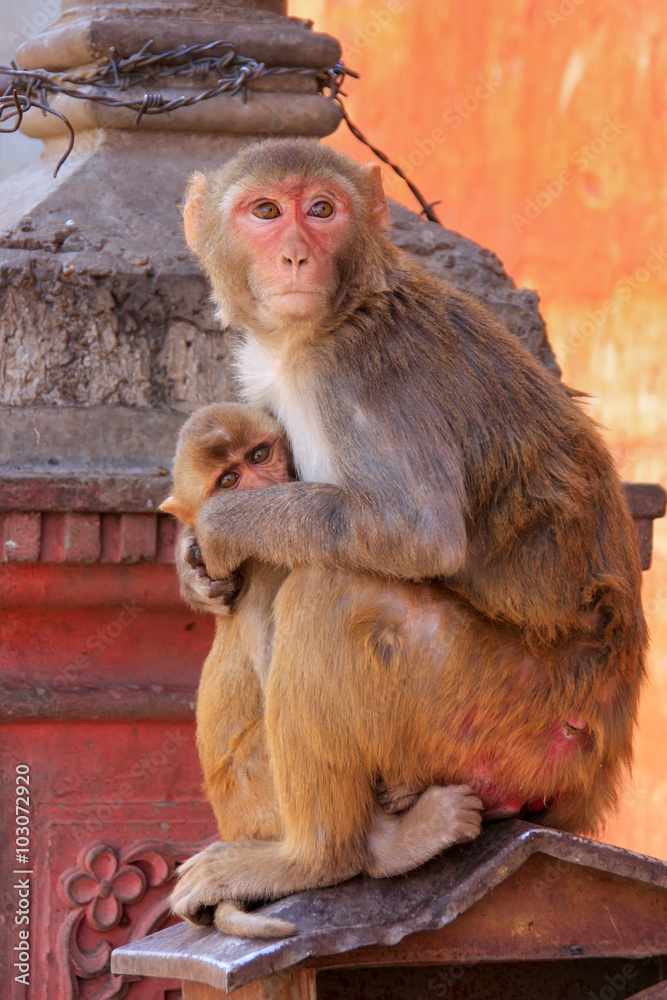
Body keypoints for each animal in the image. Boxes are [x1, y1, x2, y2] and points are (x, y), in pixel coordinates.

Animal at [162, 402, 483, 936]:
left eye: (259, 455)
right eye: (228, 480)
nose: (263, 485)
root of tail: (232, 821)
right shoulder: (264, 566)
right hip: (257, 790)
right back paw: (384, 847)